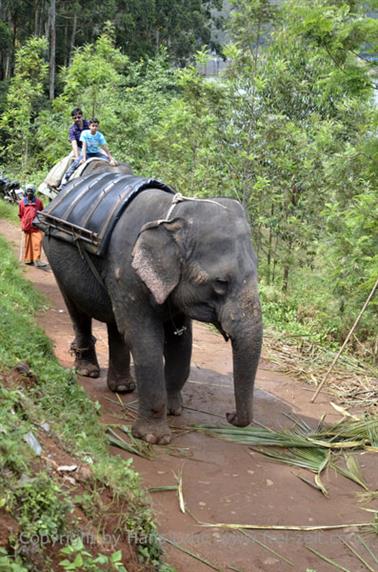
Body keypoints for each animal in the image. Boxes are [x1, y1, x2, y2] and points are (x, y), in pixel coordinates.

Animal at [42, 185, 262, 444]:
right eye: (220, 283)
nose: (229, 415)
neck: (172, 216)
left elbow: (182, 343)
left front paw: (174, 410)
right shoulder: (128, 272)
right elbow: (145, 341)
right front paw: (153, 438)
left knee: (116, 324)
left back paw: (122, 388)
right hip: (56, 258)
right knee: (78, 311)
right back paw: (89, 372)